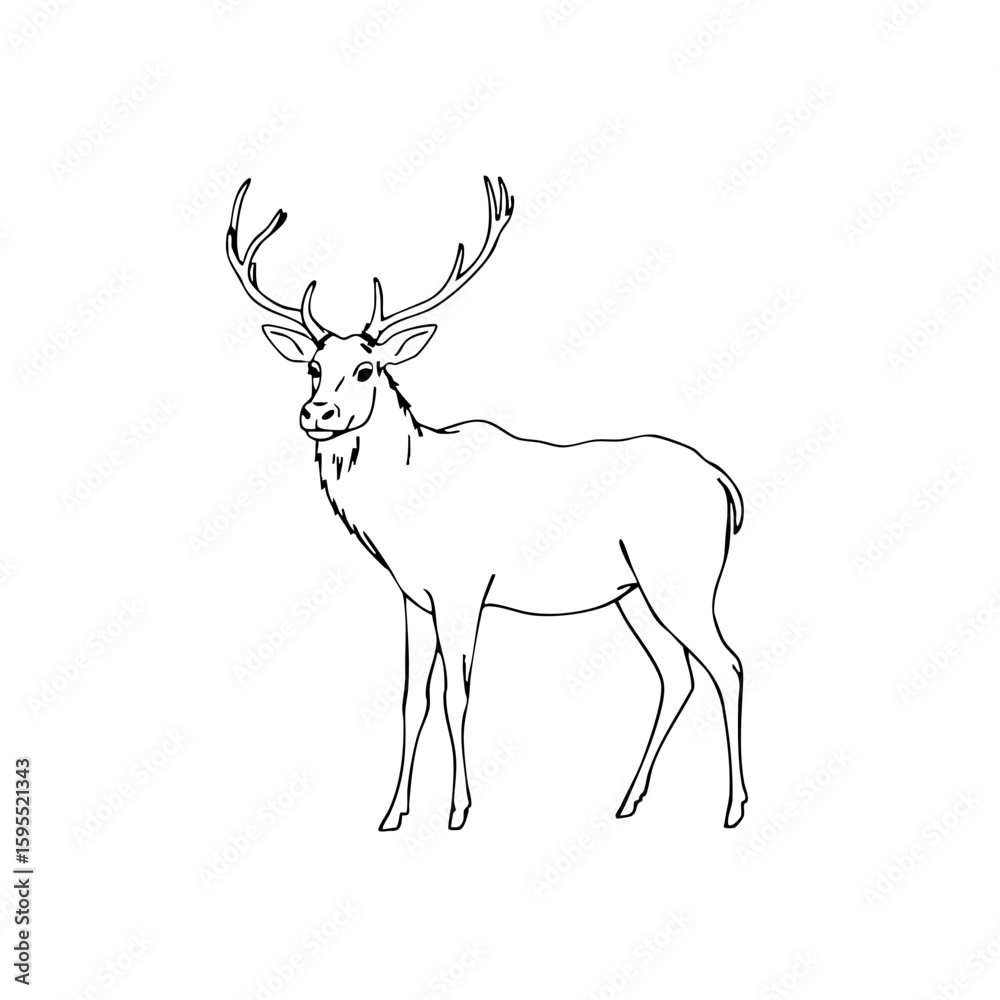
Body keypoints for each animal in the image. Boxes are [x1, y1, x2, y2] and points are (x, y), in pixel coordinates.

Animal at [226, 176, 748, 831]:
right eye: (315, 368)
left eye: (367, 369)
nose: (318, 414)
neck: (402, 511)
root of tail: (727, 486)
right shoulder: (413, 597)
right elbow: (411, 698)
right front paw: (393, 812)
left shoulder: (464, 590)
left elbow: (457, 695)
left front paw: (458, 810)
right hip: (632, 593)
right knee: (676, 674)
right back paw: (628, 800)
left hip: (684, 577)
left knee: (727, 665)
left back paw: (733, 806)